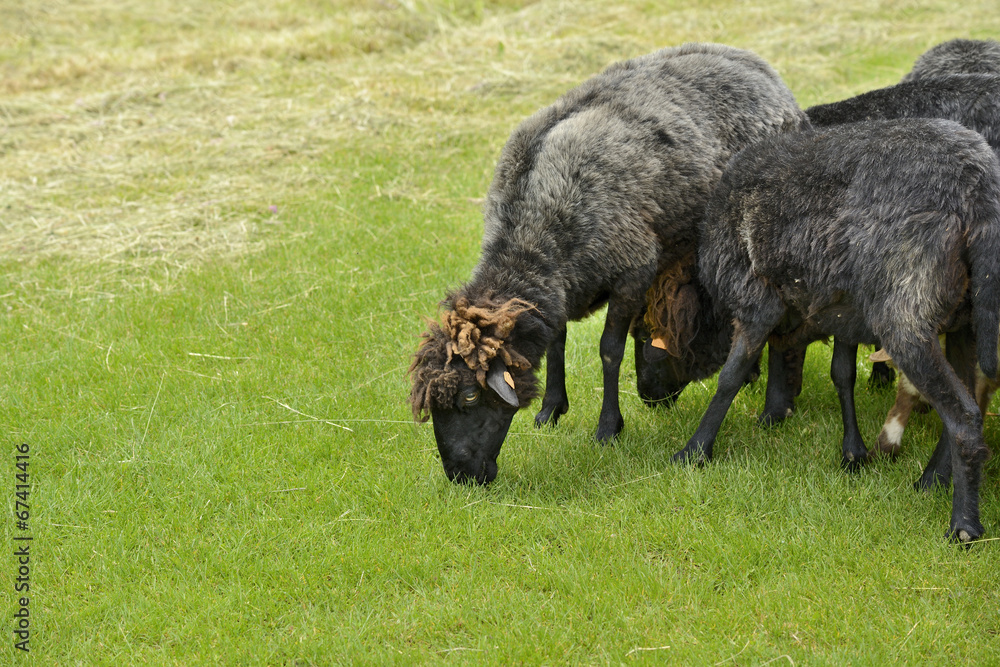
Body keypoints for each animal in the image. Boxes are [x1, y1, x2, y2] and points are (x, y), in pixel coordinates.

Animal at [408, 42, 807, 485]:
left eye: (469, 395)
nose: (460, 476)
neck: (532, 229)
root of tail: (752, 61)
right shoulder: (561, 285)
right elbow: (558, 340)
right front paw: (551, 409)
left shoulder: (633, 269)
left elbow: (609, 351)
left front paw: (607, 428)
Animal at [671, 118, 1000, 542]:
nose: (652, 399)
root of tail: (978, 188)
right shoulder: (843, 312)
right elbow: (842, 374)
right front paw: (853, 453)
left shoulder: (755, 299)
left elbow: (731, 376)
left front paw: (695, 450)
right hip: (964, 321)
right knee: (970, 400)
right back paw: (932, 480)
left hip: (907, 315)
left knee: (964, 416)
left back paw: (963, 525)